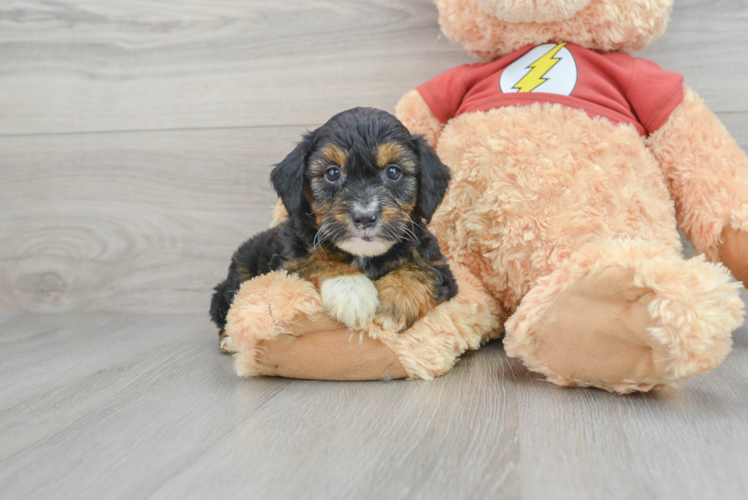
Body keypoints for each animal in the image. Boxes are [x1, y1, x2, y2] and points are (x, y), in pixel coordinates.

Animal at [209, 108, 456, 352]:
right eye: (332, 173)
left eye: (393, 172)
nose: (364, 217)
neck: (363, 255)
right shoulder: (289, 261)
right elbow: (316, 260)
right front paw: (352, 291)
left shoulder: (438, 264)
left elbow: (423, 271)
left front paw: (396, 302)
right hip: (240, 272)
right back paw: (230, 338)